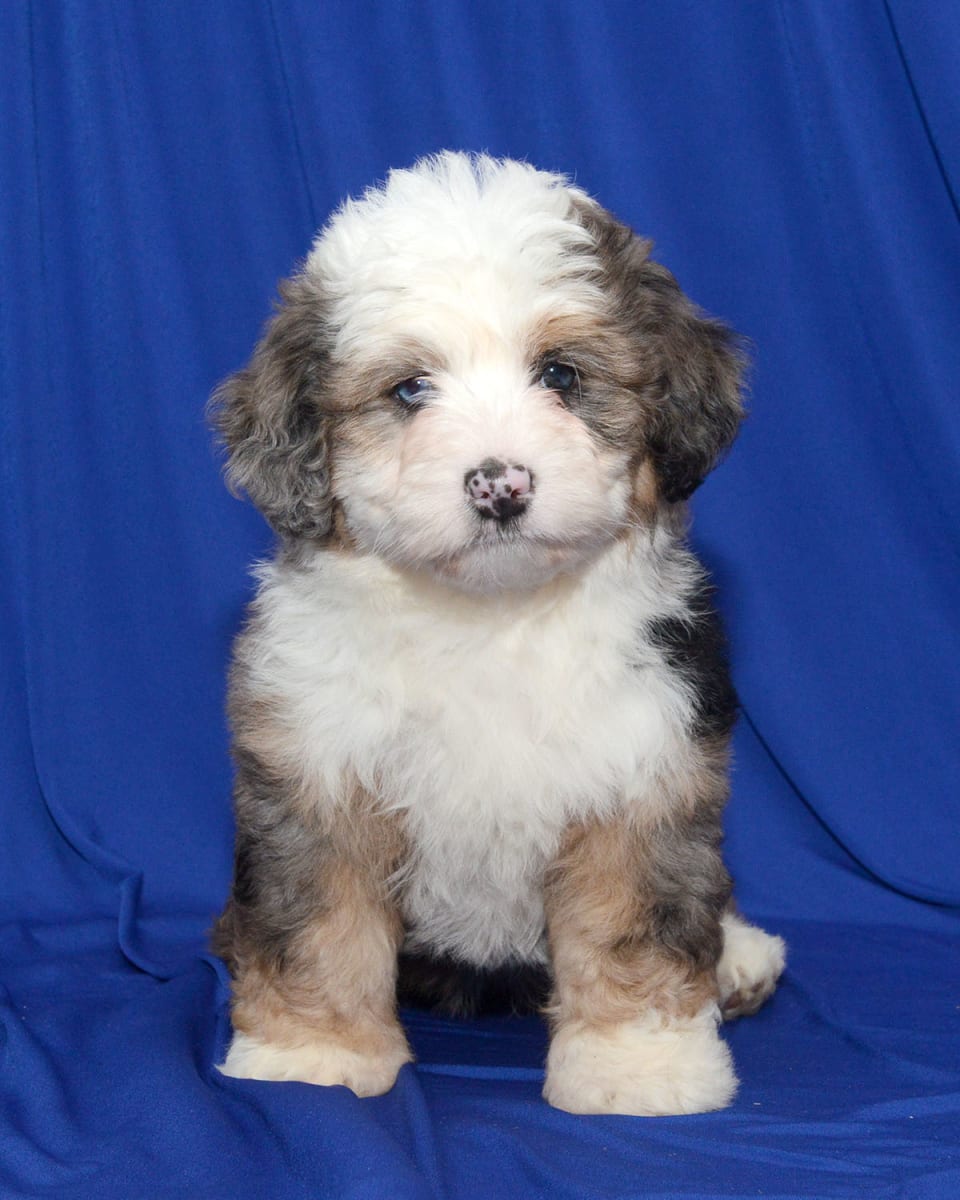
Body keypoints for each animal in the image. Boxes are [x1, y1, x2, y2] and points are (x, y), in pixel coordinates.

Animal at [212, 150, 787, 1113]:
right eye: (410, 390)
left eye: (560, 376)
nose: (499, 484)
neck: (489, 617)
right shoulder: (317, 773)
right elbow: (319, 921)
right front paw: (313, 1052)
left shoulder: (643, 767)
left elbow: (634, 917)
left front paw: (640, 1068)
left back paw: (739, 956)